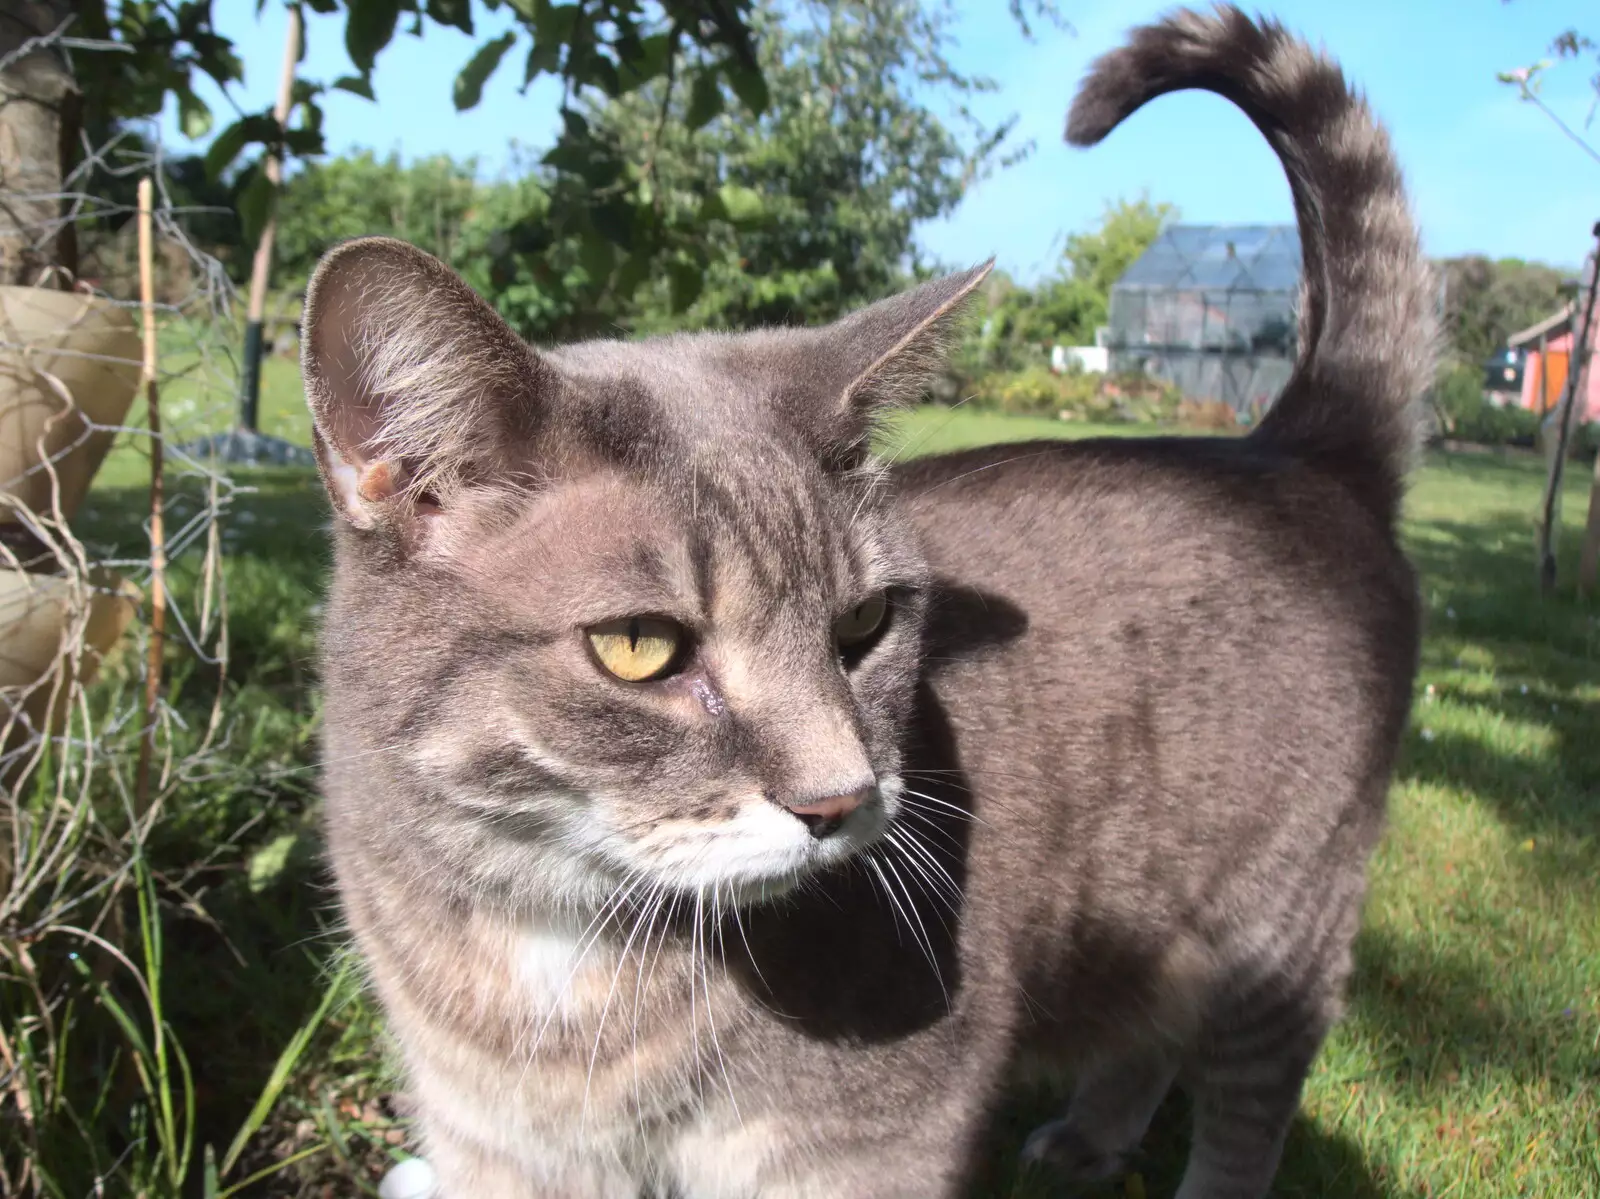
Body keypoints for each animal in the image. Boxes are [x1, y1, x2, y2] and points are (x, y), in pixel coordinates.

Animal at [302, 4, 1440, 1190]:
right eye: (638, 646)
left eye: (864, 624)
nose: (839, 800)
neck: (551, 935)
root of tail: (1296, 449)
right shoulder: (494, 1141)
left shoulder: (869, 1145)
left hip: (1279, 921)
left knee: (1246, 1101)